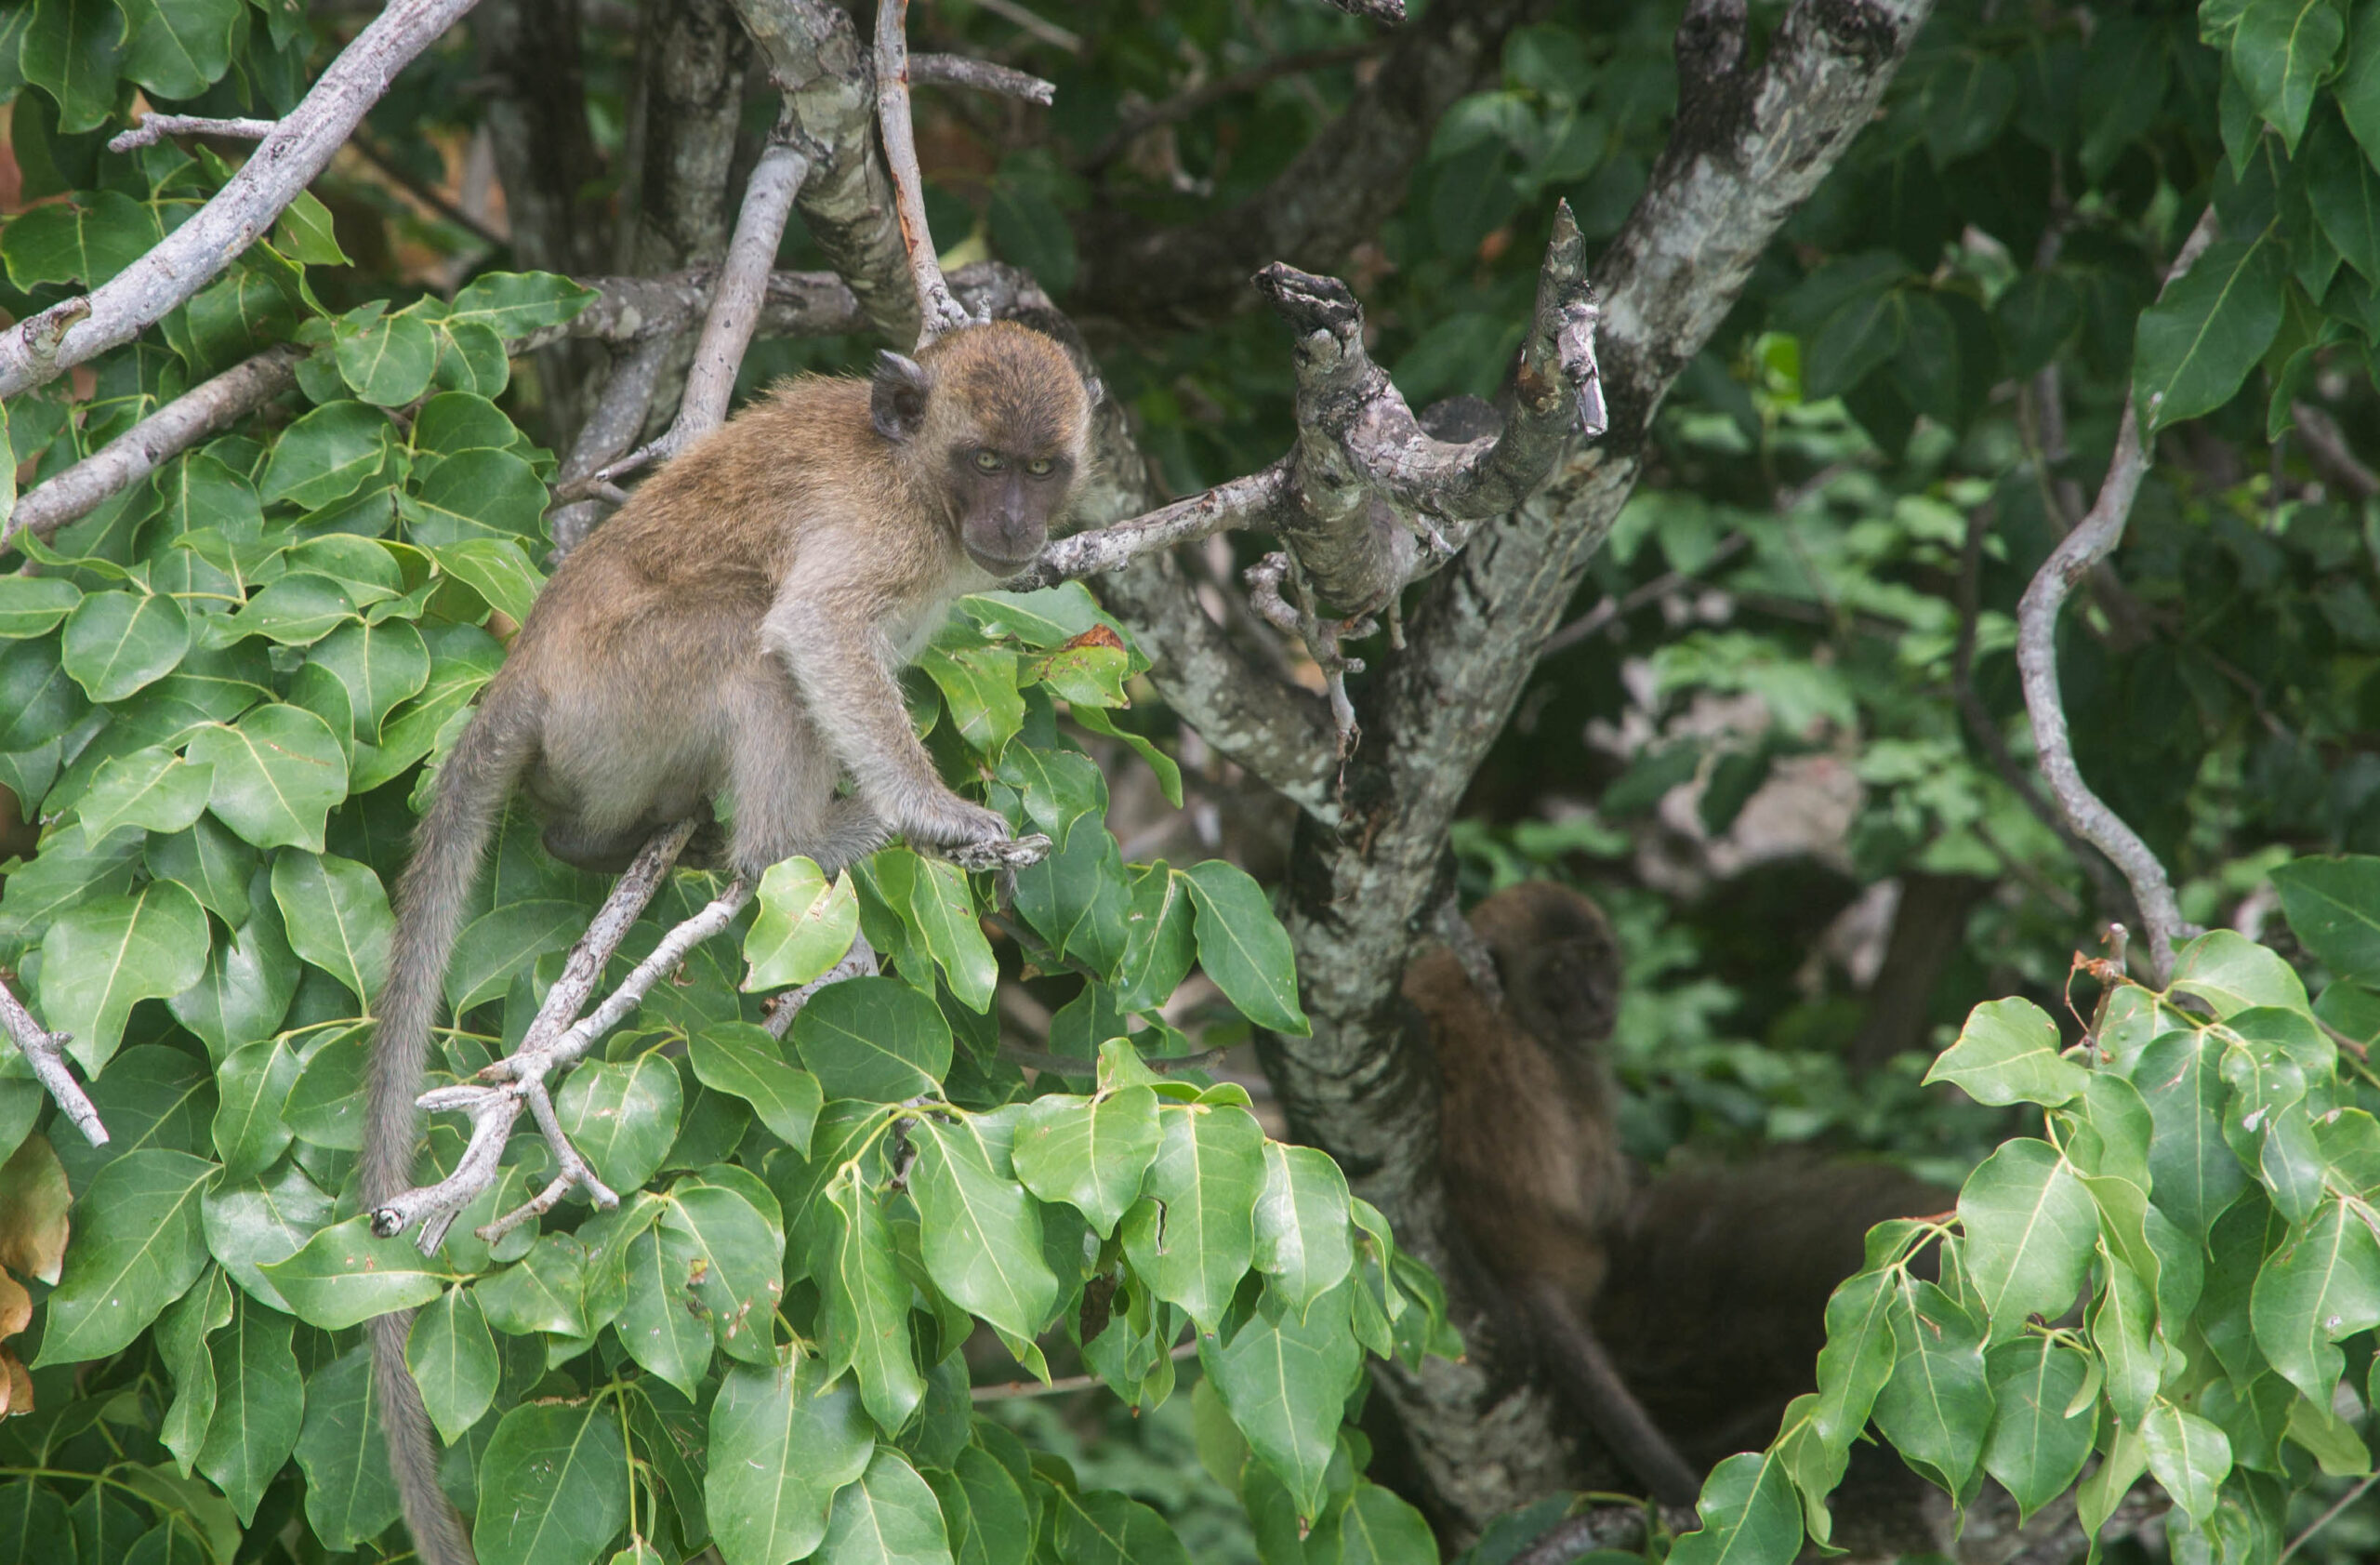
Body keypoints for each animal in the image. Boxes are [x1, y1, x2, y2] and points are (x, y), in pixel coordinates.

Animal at [361, 321, 1095, 1565]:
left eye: (1043, 469)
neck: (912, 477)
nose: (1013, 523)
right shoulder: (875, 533)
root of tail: (526, 670)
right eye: (986, 460)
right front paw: (933, 814)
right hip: (623, 701)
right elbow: (817, 634)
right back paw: (781, 849)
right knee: (749, 646)